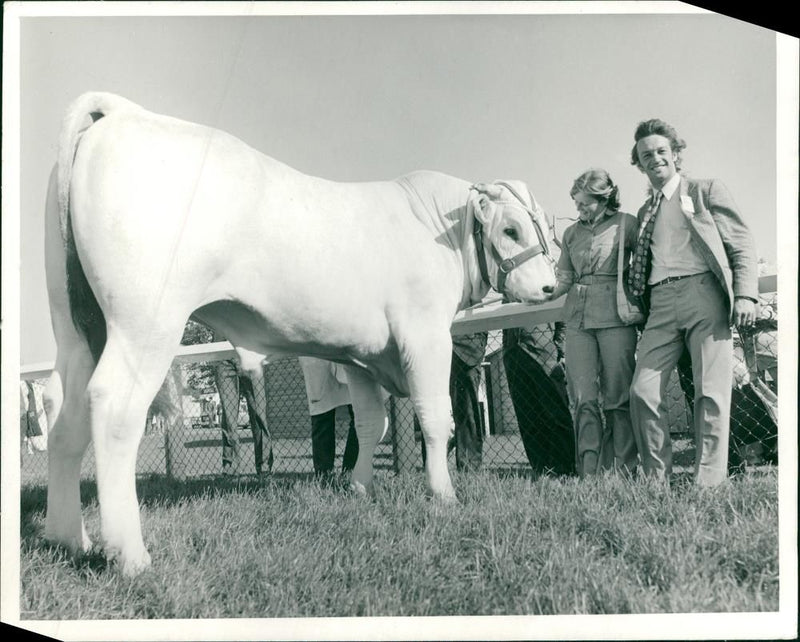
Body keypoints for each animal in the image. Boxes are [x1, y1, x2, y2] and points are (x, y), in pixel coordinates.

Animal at [42, 91, 556, 576]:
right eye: (510, 229)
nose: (550, 285)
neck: (433, 228)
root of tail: (124, 111)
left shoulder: (363, 355)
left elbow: (371, 423)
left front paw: (360, 486)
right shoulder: (425, 335)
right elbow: (435, 417)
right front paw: (443, 494)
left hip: (76, 330)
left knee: (64, 415)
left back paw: (69, 537)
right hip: (145, 322)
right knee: (113, 409)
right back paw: (129, 553)